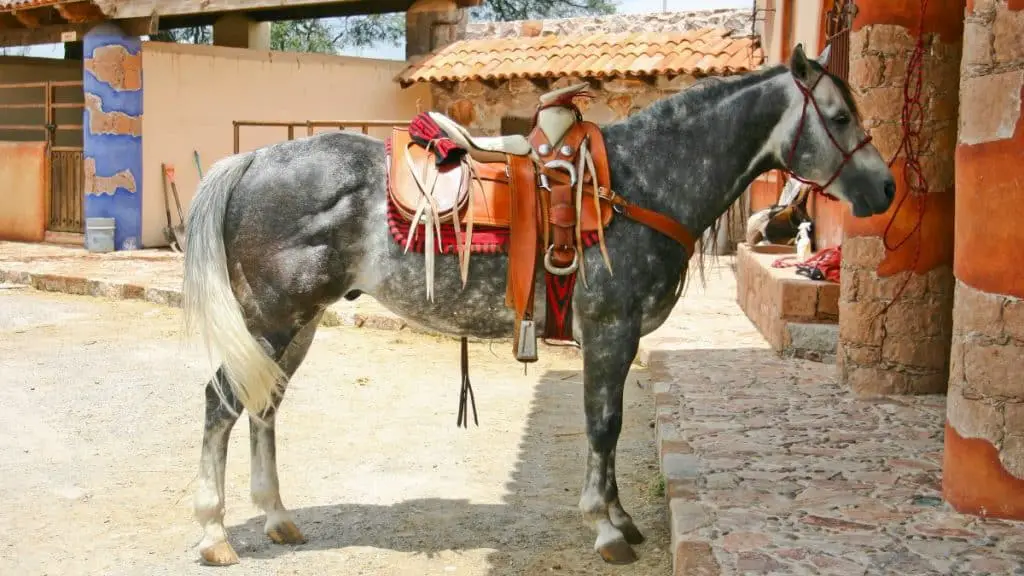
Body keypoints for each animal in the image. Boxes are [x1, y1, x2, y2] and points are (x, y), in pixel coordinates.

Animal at [184, 45, 897, 565]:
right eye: (838, 117)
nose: (888, 188)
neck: (635, 186)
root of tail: (253, 159)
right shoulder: (610, 330)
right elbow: (603, 425)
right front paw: (605, 530)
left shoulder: (622, 339)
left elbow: (609, 426)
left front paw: (621, 519)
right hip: (273, 317)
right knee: (221, 404)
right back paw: (214, 535)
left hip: (296, 323)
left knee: (265, 403)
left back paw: (278, 518)